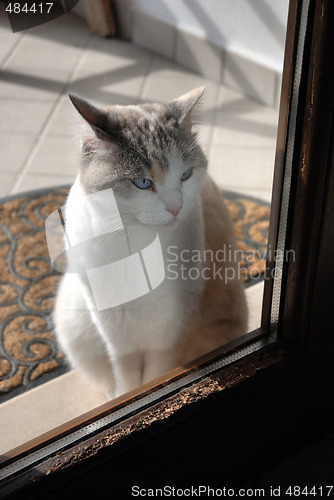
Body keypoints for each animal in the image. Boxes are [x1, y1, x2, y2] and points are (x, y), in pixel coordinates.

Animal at [53, 88, 248, 400]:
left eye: (185, 175)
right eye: (143, 182)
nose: (175, 207)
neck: (137, 246)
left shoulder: (171, 327)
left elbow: (157, 374)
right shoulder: (114, 327)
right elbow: (127, 374)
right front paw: (125, 394)